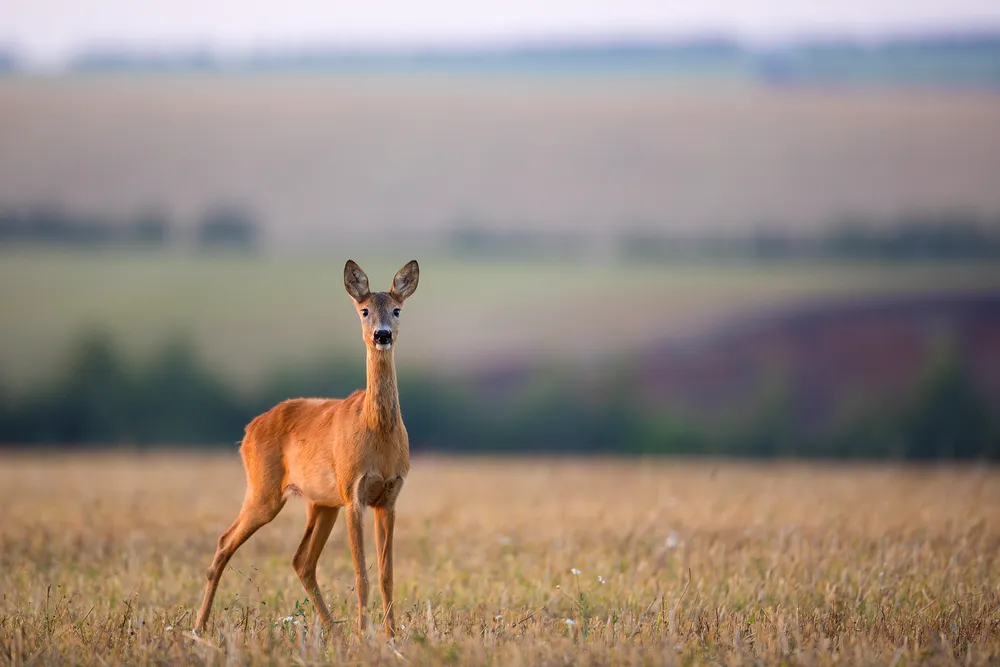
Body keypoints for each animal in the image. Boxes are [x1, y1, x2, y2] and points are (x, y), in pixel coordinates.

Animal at [194, 259, 419, 640]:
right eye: (364, 310)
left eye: (397, 309)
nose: (382, 335)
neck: (378, 433)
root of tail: (249, 430)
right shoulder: (353, 492)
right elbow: (362, 576)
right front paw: (364, 636)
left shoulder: (389, 496)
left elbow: (387, 575)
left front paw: (389, 636)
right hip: (265, 491)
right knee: (225, 541)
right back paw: (198, 627)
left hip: (320, 503)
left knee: (302, 560)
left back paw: (334, 631)